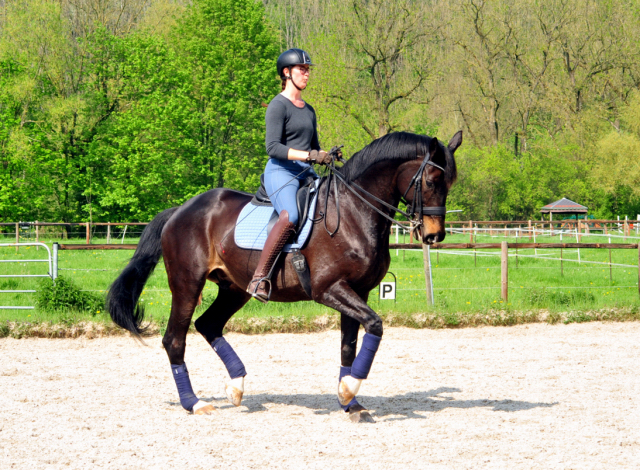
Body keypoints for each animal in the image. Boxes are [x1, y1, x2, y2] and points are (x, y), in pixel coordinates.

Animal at [107, 129, 462, 422]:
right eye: (431, 181)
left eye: (450, 183)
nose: (435, 235)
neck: (353, 213)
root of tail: (179, 211)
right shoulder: (329, 289)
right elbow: (375, 324)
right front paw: (349, 390)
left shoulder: (357, 292)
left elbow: (349, 346)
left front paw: (351, 402)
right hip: (187, 285)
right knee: (175, 339)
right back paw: (194, 403)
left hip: (234, 288)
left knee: (208, 325)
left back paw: (236, 385)